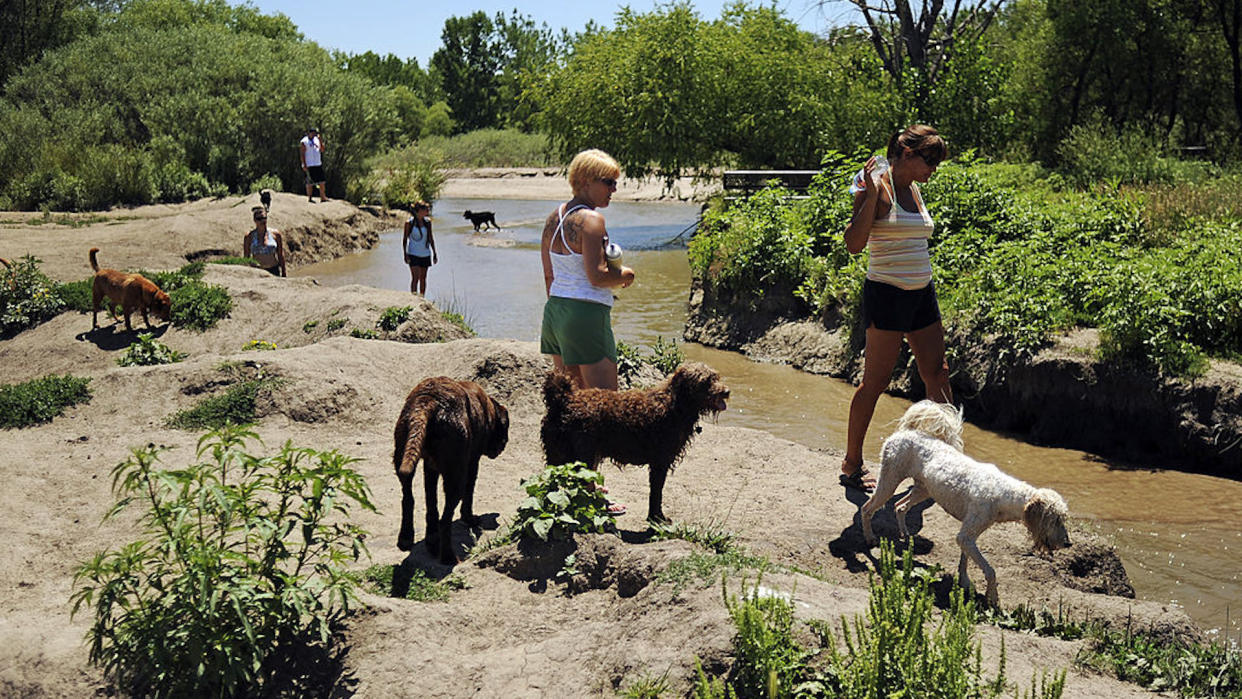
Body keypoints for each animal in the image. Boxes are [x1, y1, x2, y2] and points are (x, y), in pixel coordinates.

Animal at [399, 377, 511, 563]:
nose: (504, 444)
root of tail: (428, 401)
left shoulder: (430, 467)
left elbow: (431, 503)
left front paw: (431, 539)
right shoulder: (472, 462)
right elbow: (469, 493)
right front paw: (470, 519)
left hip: (402, 451)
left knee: (409, 499)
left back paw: (408, 539)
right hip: (456, 476)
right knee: (445, 520)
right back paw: (449, 557)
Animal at [541, 365, 725, 521]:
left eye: (716, 377)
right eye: (705, 381)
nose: (726, 391)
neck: (675, 406)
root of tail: (563, 399)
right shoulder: (660, 462)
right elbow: (656, 493)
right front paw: (656, 518)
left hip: (561, 455)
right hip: (580, 457)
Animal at [859, 402, 1073, 603]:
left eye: (1063, 519)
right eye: (1054, 520)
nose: (1068, 543)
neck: (1004, 494)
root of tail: (907, 431)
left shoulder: (967, 537)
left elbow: (964, 560)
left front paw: (964, 582)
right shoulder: (966, 536)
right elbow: (990, 571)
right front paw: (992, 597)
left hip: (923, 490)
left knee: (900, 506)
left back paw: (905, 534)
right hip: (889, 482)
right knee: (867, 508)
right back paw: (870, 539)